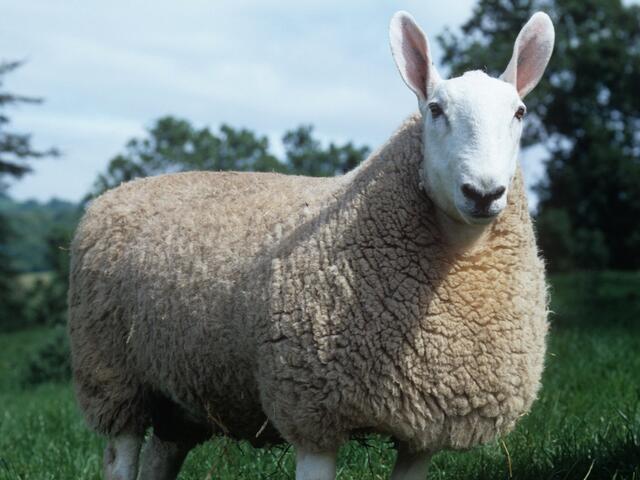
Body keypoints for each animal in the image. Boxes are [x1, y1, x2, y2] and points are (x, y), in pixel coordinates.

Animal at [68, 10, 554, 480]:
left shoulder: (425, 427)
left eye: (520, 112)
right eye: (435, 109)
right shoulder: (311, 410)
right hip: (113, 374)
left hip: (184, 387)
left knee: (161, 455)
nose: (483, 193)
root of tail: (118, 191)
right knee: (121, 455)